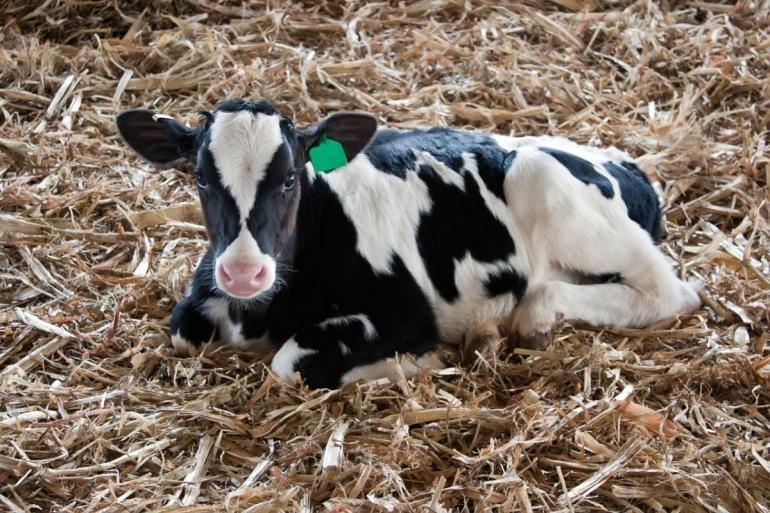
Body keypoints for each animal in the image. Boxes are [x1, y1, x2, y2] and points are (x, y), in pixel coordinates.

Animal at [116, 99, 701, 389]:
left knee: (668, 291)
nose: (242, 272)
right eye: (199, 178)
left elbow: (291, 362)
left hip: (544, 182)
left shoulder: (405, 313)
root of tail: (622, 161)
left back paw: (528, 319)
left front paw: (417, 363)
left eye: (290, 179)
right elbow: (181, 330)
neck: (258, 312)